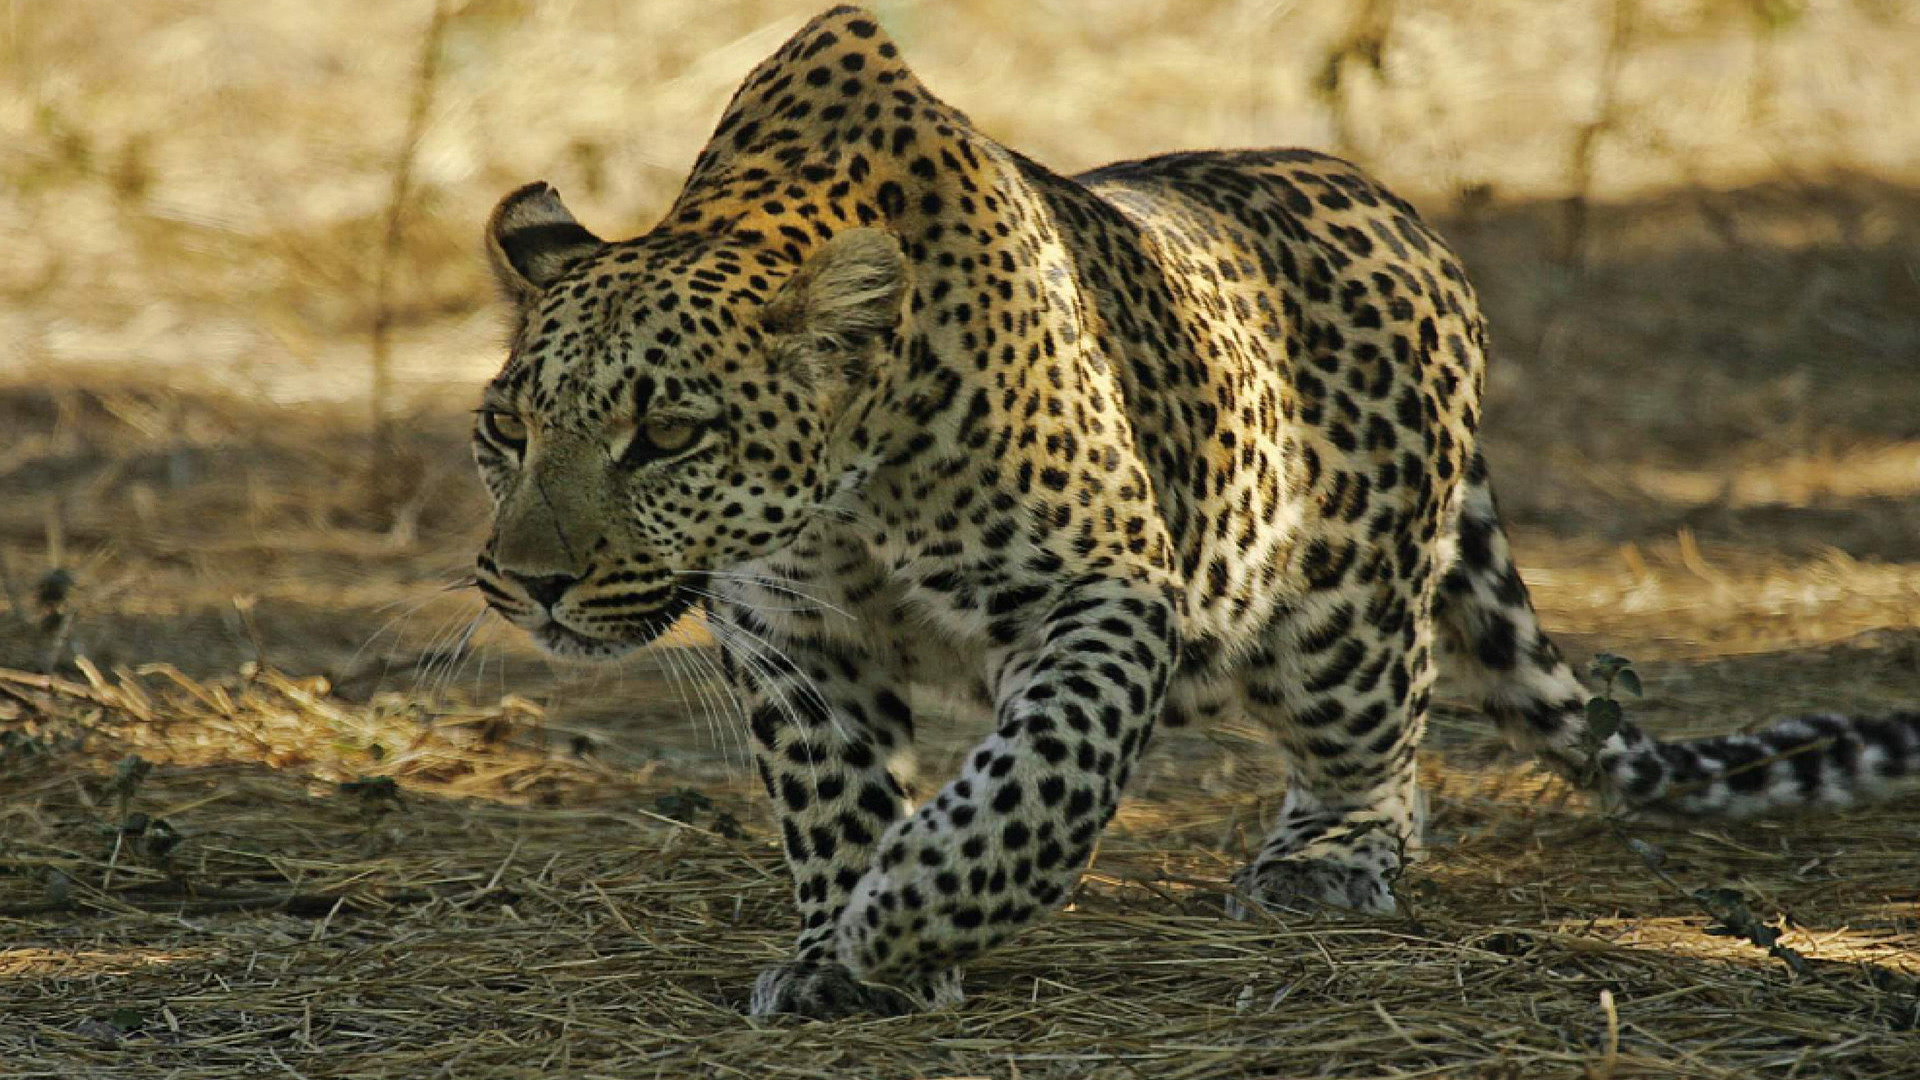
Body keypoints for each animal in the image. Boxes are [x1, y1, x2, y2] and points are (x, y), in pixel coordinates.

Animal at [469, 5, 1920, 1020]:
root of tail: (1408, 218)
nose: (527, 581)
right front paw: (842, 949)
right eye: (507, 433)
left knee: (1387, 743)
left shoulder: (1101, 591)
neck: (848, 498)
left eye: (666, 435)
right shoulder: (789, 635)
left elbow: (1037, 775)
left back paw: (1326, 856)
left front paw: (911, 917)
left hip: (1336, 616)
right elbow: (832, 803)